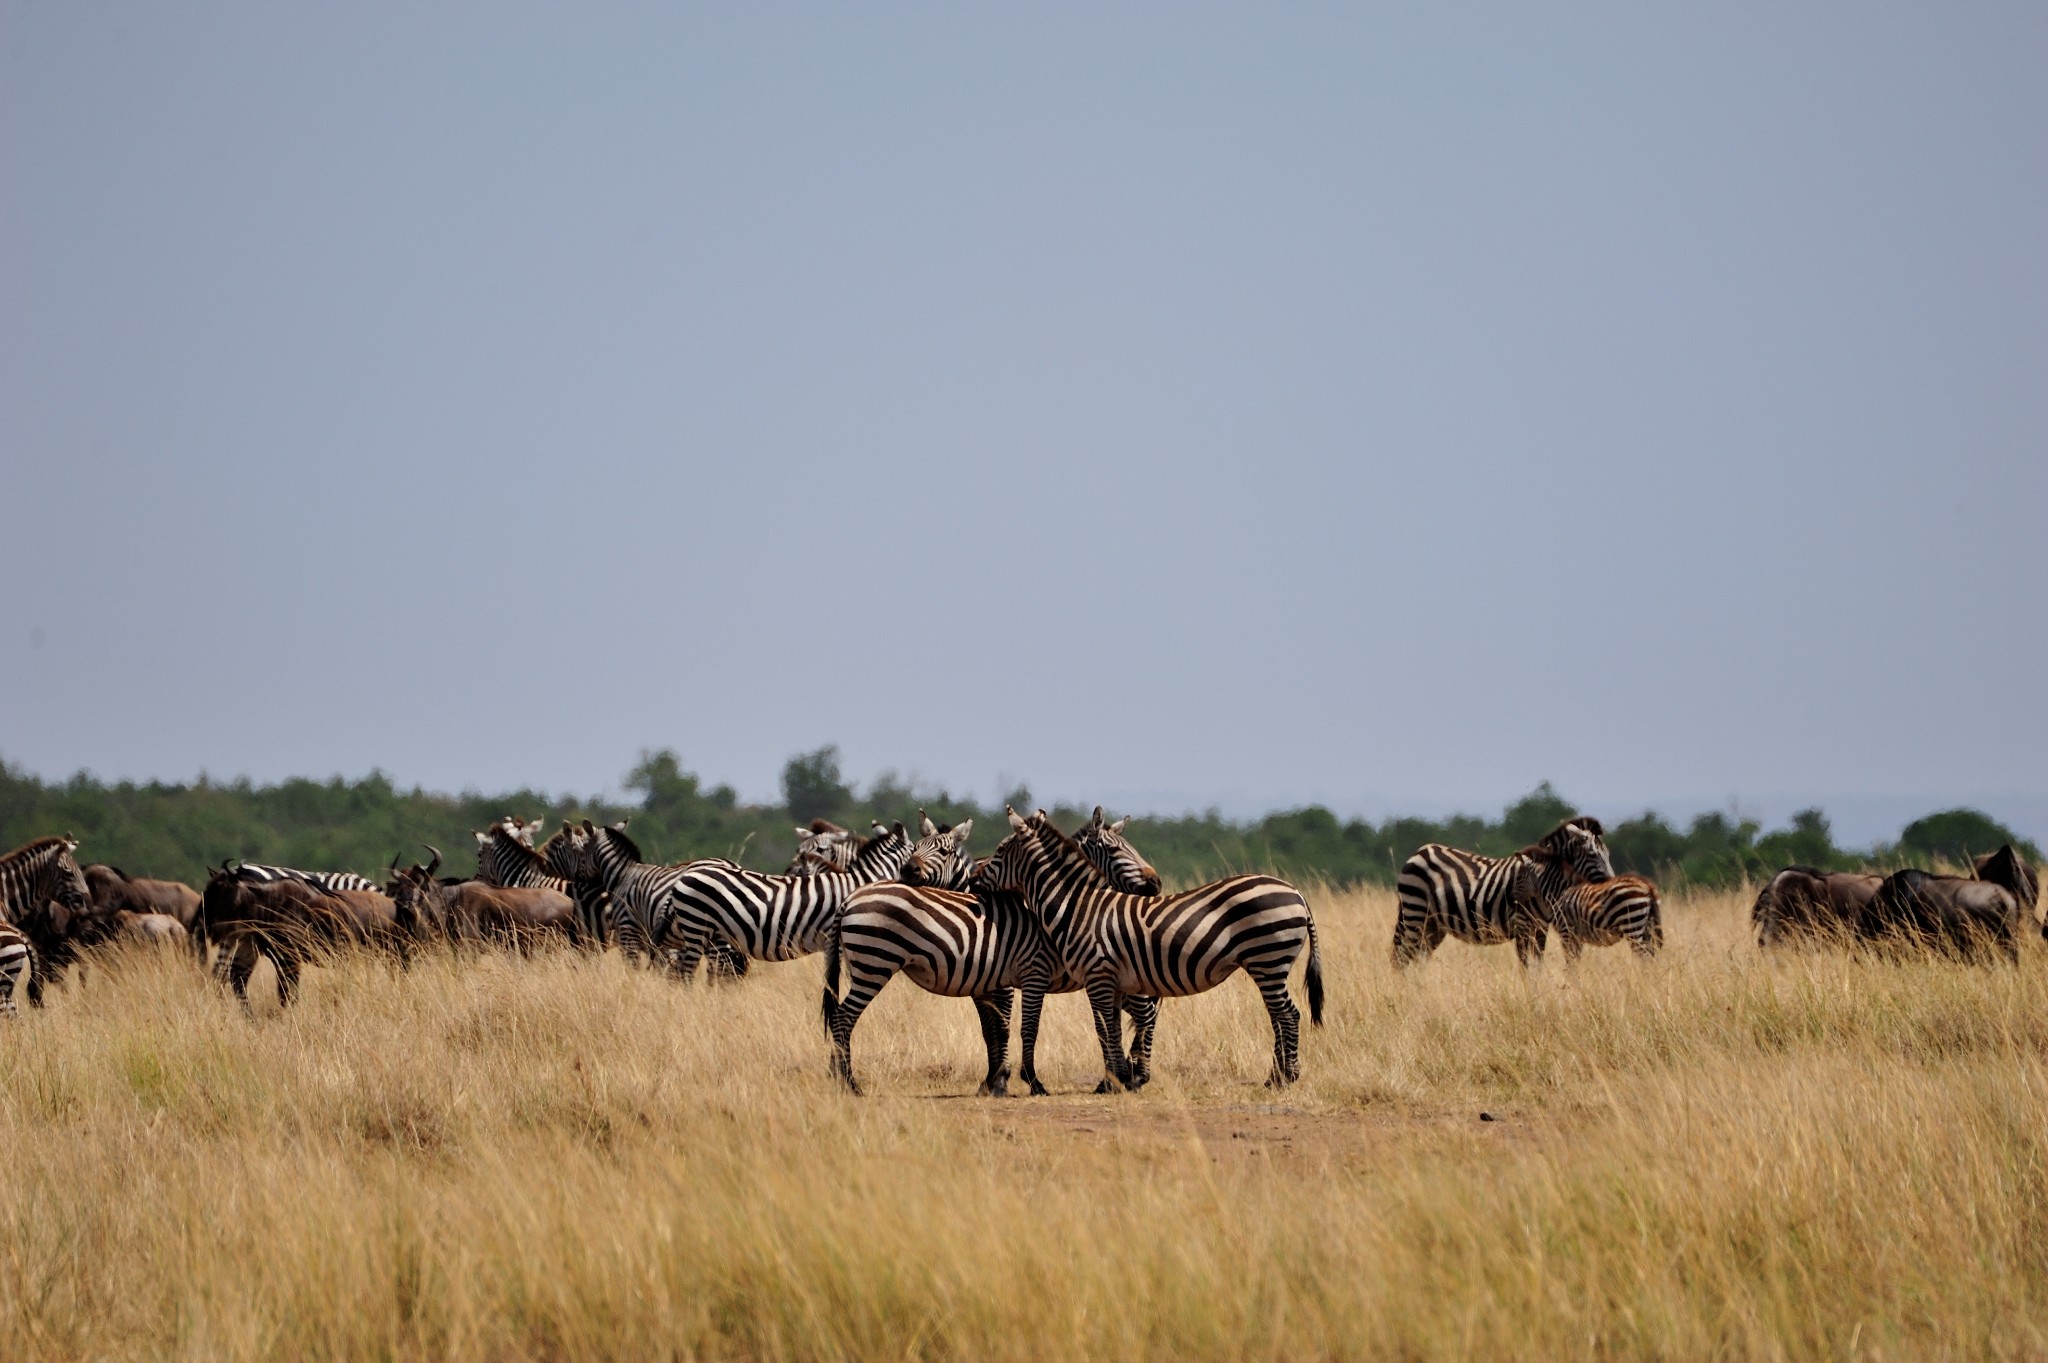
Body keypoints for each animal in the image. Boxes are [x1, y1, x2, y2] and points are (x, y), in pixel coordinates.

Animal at [655, 818, 913, 978]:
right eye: (915, 850)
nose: (919, 875)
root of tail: (685, 874)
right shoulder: (839, 942)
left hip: (713, 933)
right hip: (696, 925)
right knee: (686, 972)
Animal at [819, 806, 1171, 1096]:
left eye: (944, 851)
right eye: (915, 848)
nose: (1155, 884)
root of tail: (848, 900)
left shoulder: (1005, 980)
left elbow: (1003, 1029)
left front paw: (999, 1081)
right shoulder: (999, 981)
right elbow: (997, 1030)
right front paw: (998, 1081)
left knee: (1144, 1015)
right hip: (874, 964)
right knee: (843, 1017)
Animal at [978, 806, 1327, 1080]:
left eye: (999, 853)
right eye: (1116, 850)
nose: (976, 878)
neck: (1078, 906)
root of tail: (1297, 892)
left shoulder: (1095, 974)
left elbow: (1105, 1027)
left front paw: (1120, 1078)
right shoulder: (1114, 980)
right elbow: (1114, 1027)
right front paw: (1120, 1077)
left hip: (1267, 960)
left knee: (1287, 1015)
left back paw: (1283, 1078)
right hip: (1268, 964)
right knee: (1279, 1016)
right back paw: (1278, 1075)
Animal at [1392, 810, 1613, 961]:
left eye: (1608, 854)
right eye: (1592, 855)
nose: (1611, 881)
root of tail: (1419, 851)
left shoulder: (1540, 928)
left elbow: (1537, 964)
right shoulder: (1523, 925)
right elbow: (1526, 965)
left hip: (1433, 924)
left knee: (1417, 956)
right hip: (1415, 912)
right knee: (1403, 956)